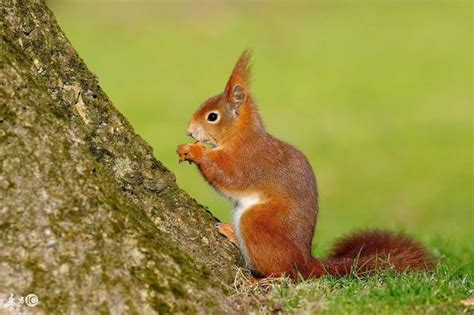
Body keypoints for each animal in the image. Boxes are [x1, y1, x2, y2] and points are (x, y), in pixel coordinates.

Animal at [175, 50, 434, 278]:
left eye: (212, 117)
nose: (189, 132)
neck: (241, 135)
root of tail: (303, 261)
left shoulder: (249, 160)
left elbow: (228, 175)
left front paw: (194, 151)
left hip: (257, 221)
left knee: (282, 272)